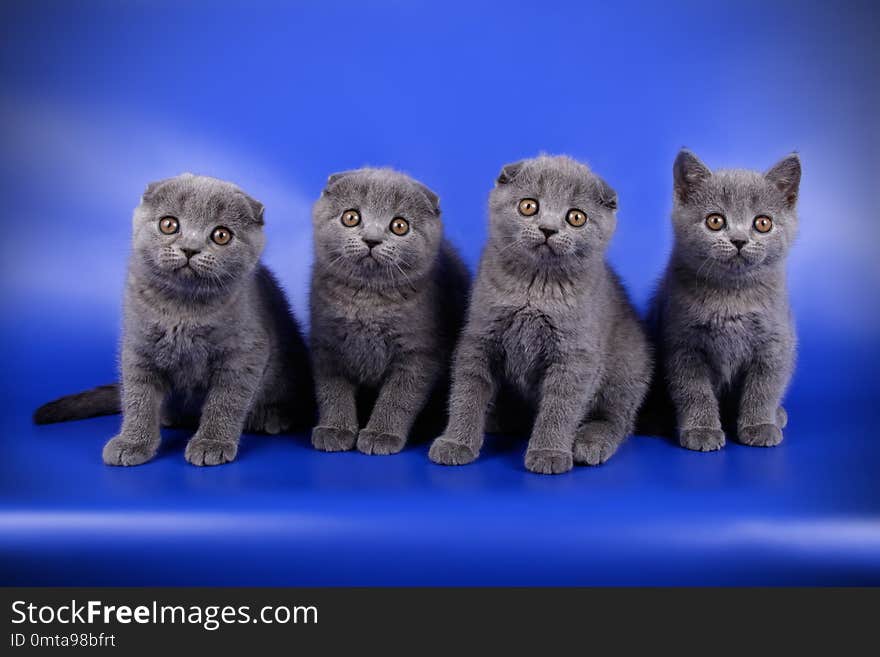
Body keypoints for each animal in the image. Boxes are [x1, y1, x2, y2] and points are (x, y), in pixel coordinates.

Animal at [35, 172, 316, 464]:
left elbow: (225, 401)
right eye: (169, 224)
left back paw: (271, 416)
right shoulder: (138, 347)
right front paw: (133, 442)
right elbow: (137, 398)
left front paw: (211, 442)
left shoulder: (245, 354)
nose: (190, 249)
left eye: (221, 235)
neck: (183, 310)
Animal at [430, 155, 648, 472]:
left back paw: (590, 442)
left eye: (576, 217)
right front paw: (456, 442)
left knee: (619, 418)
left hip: (628, 367)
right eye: (529, 206)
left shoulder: (575, 355)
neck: (535, 289)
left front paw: (549, 452)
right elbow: (467, 392)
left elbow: (560, 406)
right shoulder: (480, 337)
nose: (548, 229)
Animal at [648, 149, 804, 452]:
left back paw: (777, 415)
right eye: (715, 221)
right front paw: (702, 430)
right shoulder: (683, 345)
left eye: (763, 223)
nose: (739, 240)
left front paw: (759, 425)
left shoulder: (775, 343)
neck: (732, 296)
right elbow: (693, 390)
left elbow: (764, 387)